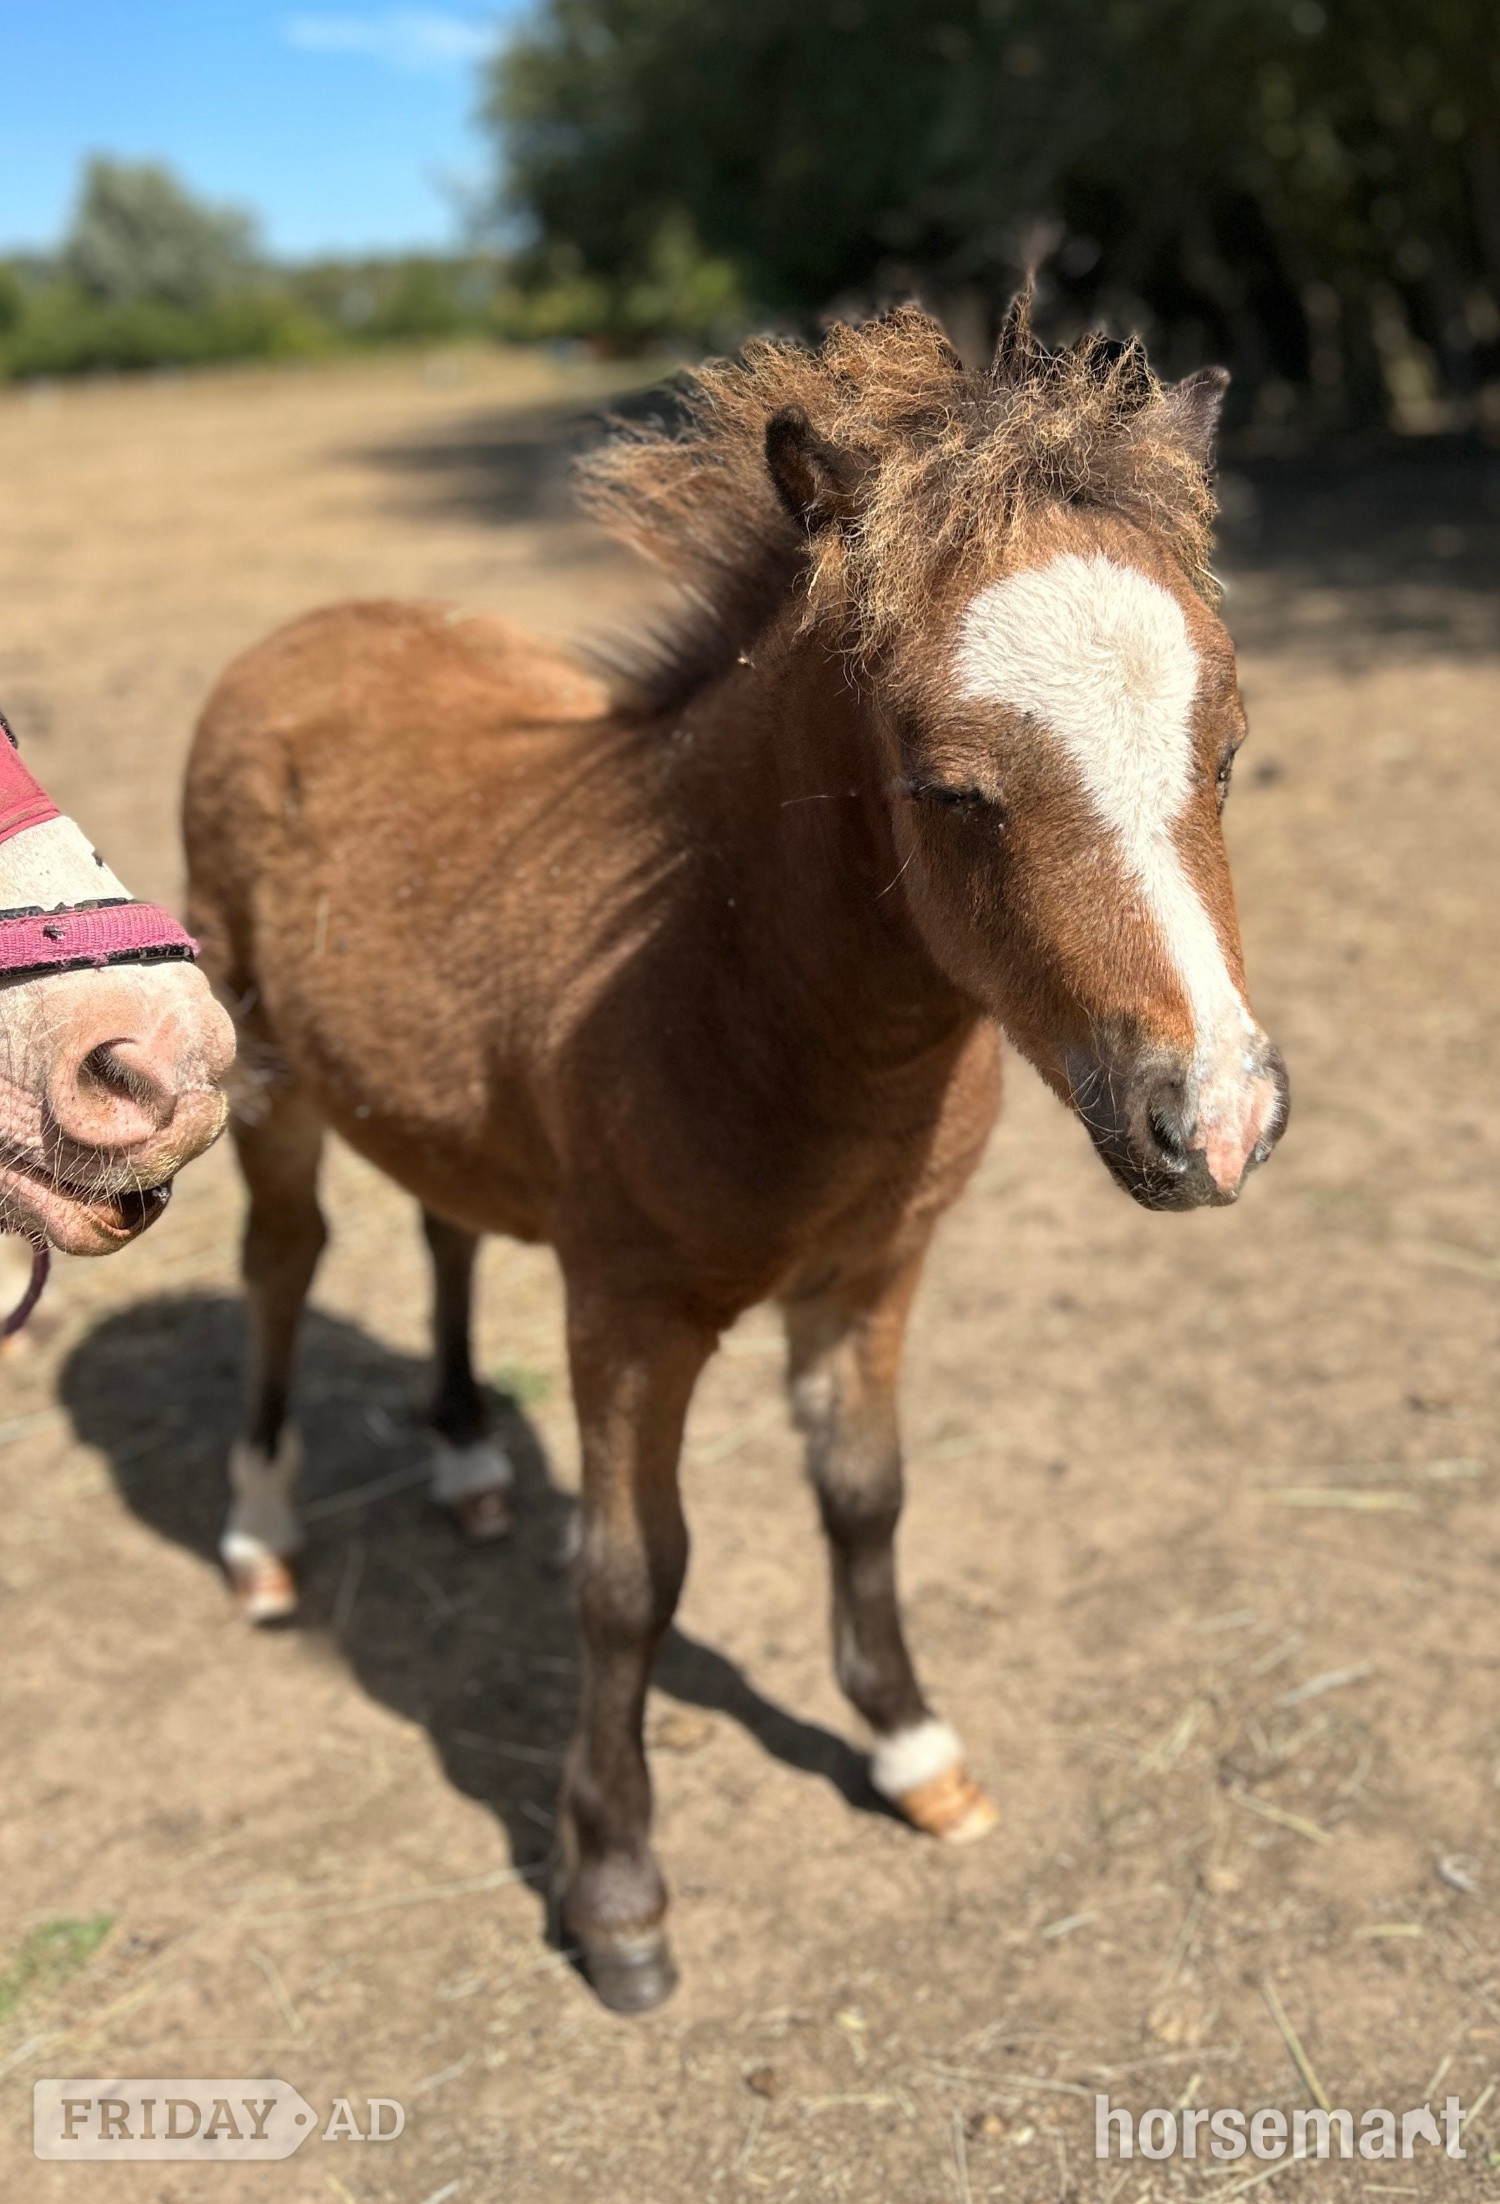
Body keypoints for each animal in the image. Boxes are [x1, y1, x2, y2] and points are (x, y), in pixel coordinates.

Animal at [183, 302, 1288, 2011]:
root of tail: (297, 636)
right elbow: (630, 1579)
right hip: (263, 1076)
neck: (743, 988)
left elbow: (868, 1499)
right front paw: (618, 1900)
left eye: (1228, 750)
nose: (1217, 1118)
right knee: (282, 1264)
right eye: (951, 789)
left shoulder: (872, 1274)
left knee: (443, 1227)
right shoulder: (630, 1309)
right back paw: (260, 1539)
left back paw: (467, 1463)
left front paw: (915, 1751)